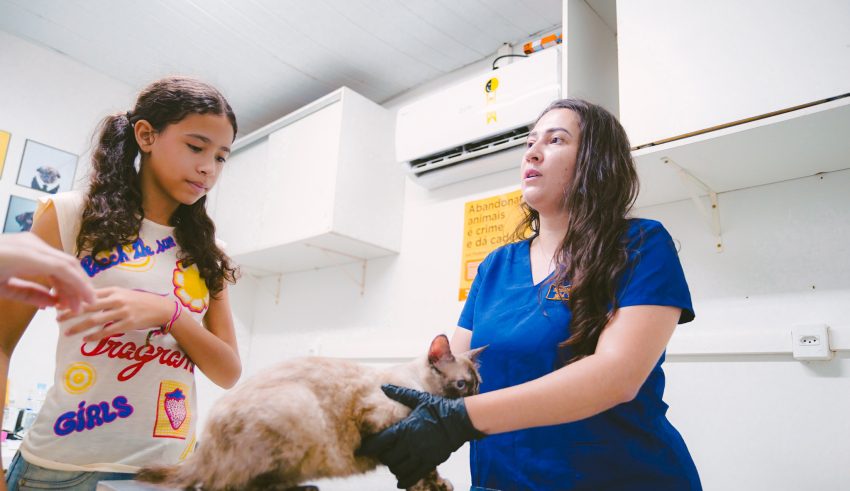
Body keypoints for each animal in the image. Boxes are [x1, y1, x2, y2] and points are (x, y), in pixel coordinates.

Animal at [136, 334, 485, 491]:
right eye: (461, 385)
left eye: (477, 385)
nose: (475, 398)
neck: (417, 388)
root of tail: (204, 447)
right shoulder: (394, 433)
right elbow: (422, 473)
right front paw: (436, 487)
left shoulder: (412, 443)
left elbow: (423, 470)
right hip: (296, 409)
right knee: (226, 485)